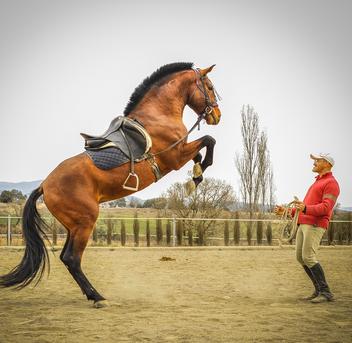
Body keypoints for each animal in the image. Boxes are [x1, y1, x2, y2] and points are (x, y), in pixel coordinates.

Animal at [0, 62, 220, 310]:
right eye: (209, 87)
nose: (217, 116)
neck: (158, 115)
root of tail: (45, 185)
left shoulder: (181, 152)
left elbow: (200, 151)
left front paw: (197, 173)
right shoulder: (175, 156)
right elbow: (208, 141)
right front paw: (197, 178)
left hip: (73, 225)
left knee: (67, 256)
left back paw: (90, 294)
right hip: (86, 220)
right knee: (72, 258)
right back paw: (96, 296)